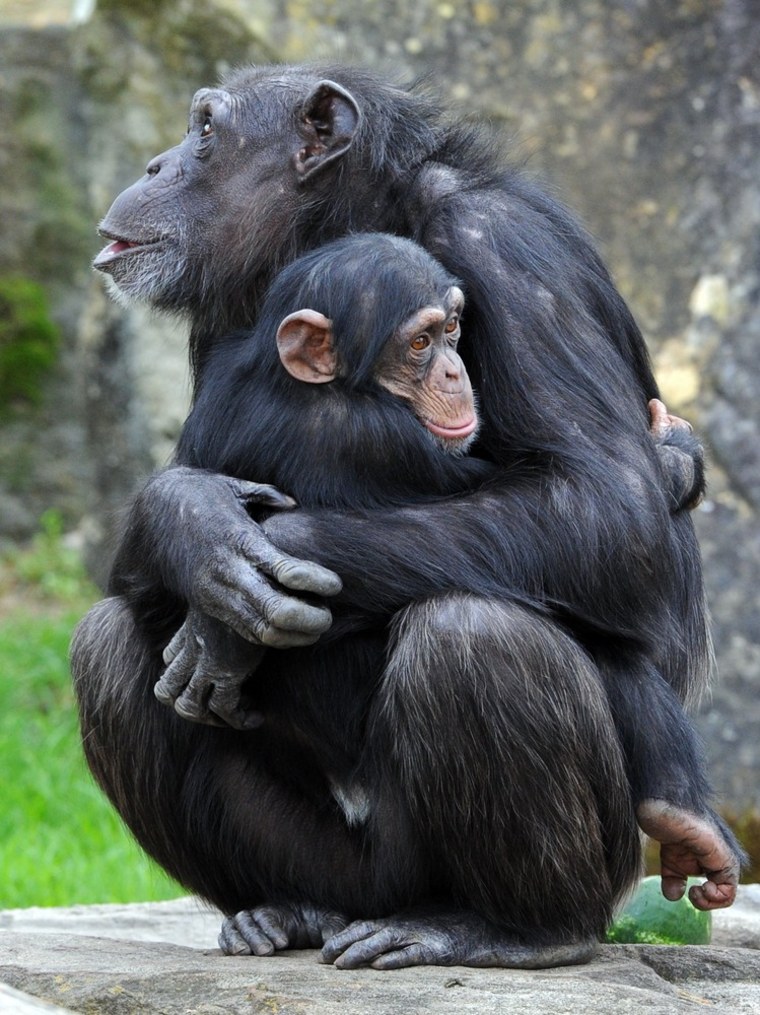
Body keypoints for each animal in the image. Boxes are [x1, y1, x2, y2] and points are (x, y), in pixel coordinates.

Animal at [72, 61, 742, 966]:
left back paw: (515, 928)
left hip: (525, 873)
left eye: (205, 130)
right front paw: (190, 525)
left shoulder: (509, 249)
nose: (154, 164)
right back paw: (280, 910)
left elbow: (613, 511)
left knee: (473, 637)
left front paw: (230, 570)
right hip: (330, 861)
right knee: (106, 645)